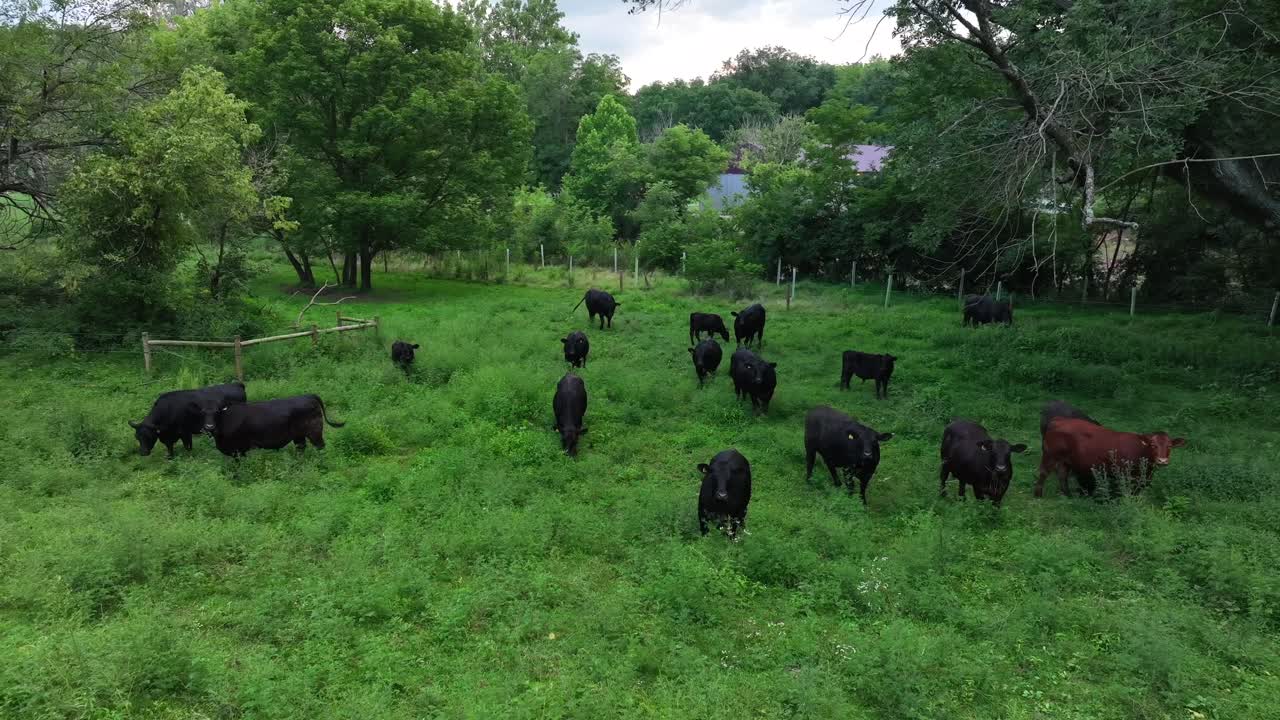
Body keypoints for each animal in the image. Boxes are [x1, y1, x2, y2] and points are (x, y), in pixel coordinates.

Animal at [210, 394, 344, 457]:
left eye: (215, 412)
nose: (209, 426)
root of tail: (308, 395)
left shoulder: (238, 450)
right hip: (299, 436)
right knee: (301, 448)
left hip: (314, 432)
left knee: (320, 447)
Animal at [1037, 417, 1186, 498]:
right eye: (1153, 445)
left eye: (1170, 446)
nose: (1162, 461)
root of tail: (1058, 420)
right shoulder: (1125, 476)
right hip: (1050, 455)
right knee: (1043, 473)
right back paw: (1037, 495)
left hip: (1066, 460)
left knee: (1062, 475)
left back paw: (1068, 495)